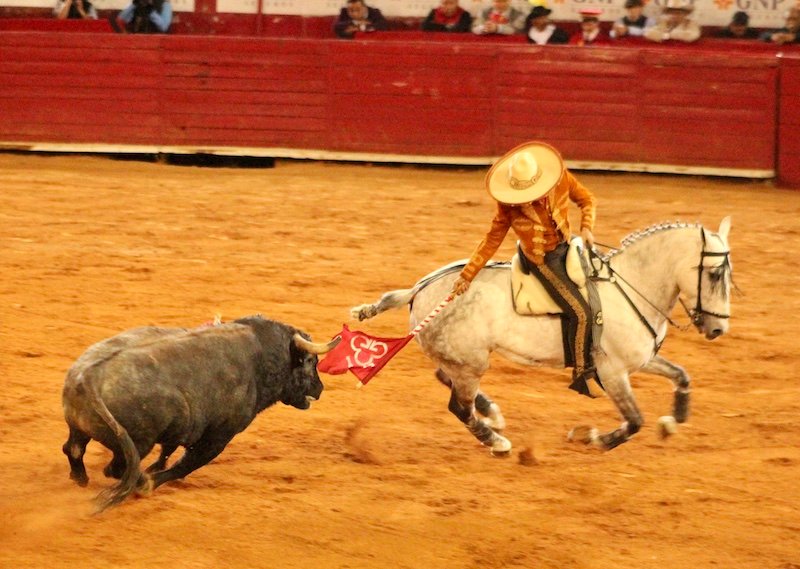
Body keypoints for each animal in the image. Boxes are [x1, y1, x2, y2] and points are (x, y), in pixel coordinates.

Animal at [61, 315, 339, 512]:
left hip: (80, 428)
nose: (320, 389)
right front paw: (151, 481)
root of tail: (89, 376)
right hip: (138, 443)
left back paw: (80, 477)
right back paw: (139, 482)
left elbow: (168, 453)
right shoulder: (218, 437)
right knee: (117, 468)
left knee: (73, 449)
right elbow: (184, 466)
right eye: (310, 362)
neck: (258, 359)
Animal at [351, 219, 732, 454]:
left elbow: (681, 375)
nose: (718, 329)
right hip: (471, 363)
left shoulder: (641, 360)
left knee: (446, 379)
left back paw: (492, 414)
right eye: (715, 274)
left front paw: (671, 423)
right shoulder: (613, 372)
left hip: (464, 359)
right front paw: (594, 438)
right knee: (458, 406)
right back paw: (497, 442)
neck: (631, 285)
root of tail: (419, 290)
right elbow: (635, 420)